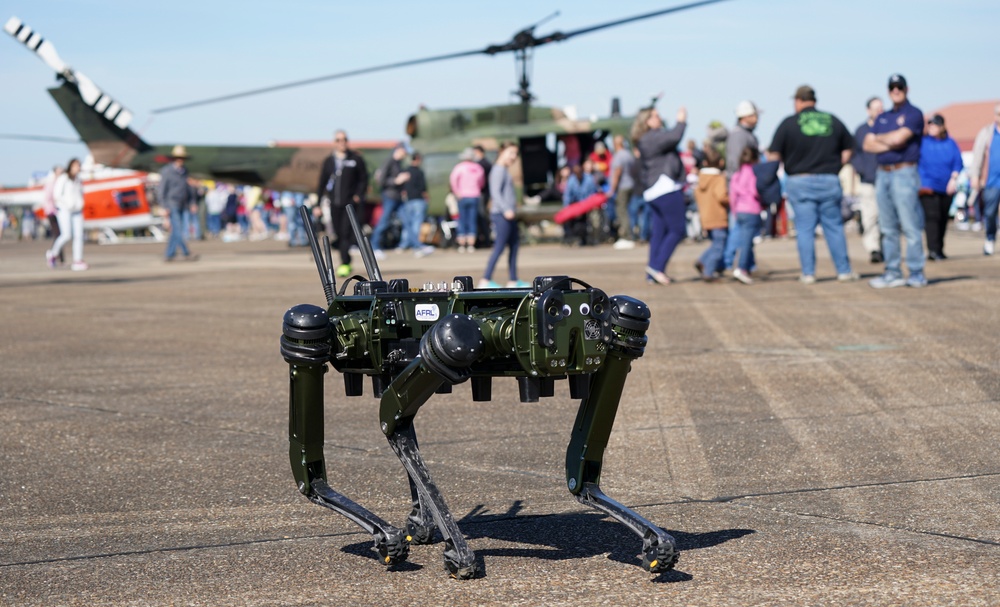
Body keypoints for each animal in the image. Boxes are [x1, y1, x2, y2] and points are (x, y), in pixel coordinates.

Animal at [278, 209, 676, 580]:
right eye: (556, 312)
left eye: (583, 312)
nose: (587, 322)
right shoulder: (448, 343)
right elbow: (392, 420)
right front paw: (457, 554)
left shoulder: (617, 346)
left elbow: (582, 470)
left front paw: (655, 541)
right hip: (318, 333)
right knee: (315, 465)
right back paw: (390, 533)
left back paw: (417, 524)